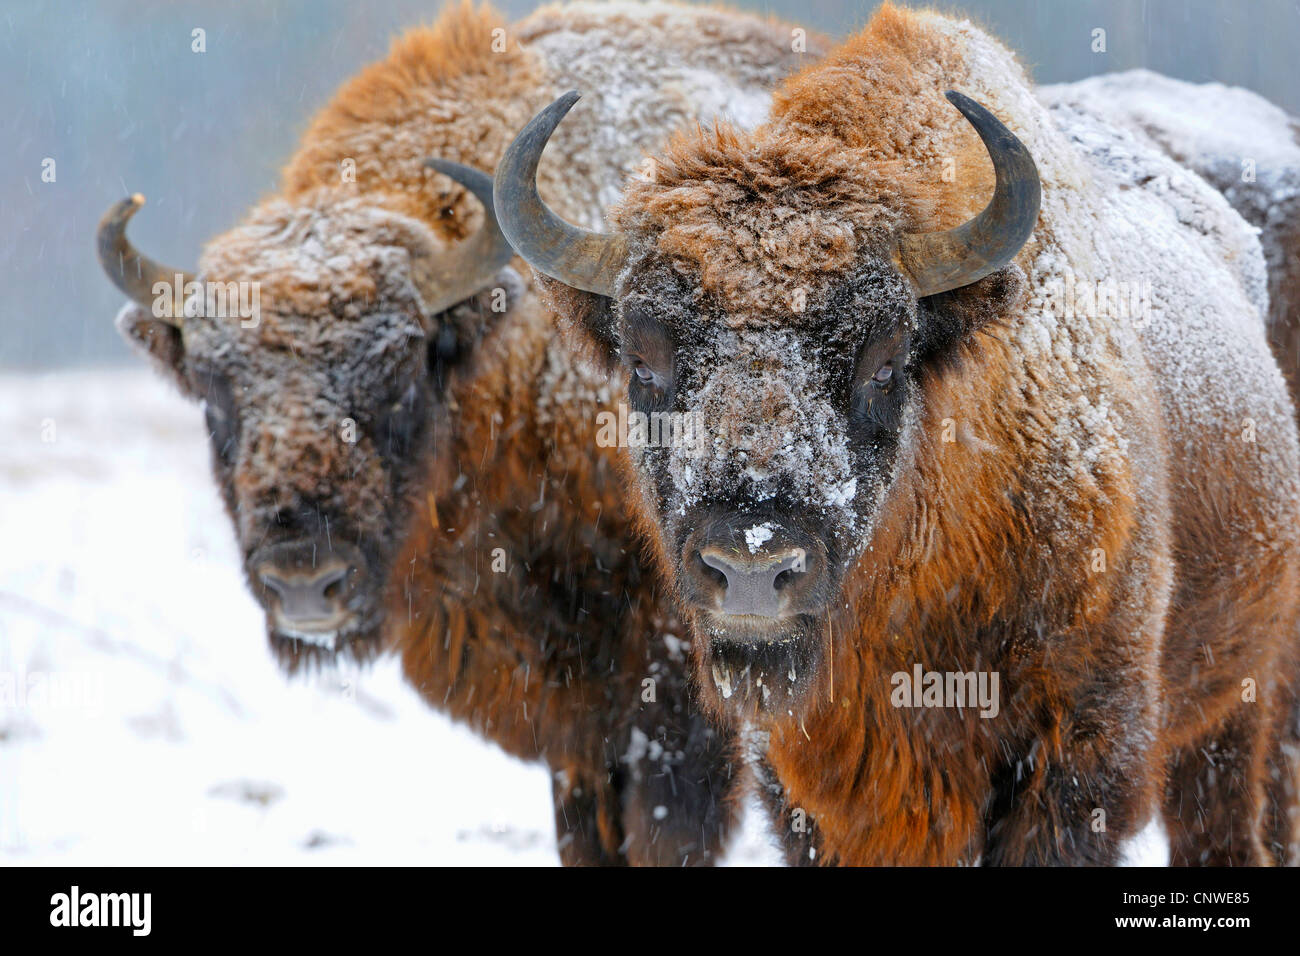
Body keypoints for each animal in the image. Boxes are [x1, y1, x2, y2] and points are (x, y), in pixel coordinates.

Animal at [496, 1, 1300, 868]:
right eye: (643, 358)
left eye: (885, 358)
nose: (752, 567)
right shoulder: (807, 784)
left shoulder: (1078, 755)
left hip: (1239, 706)